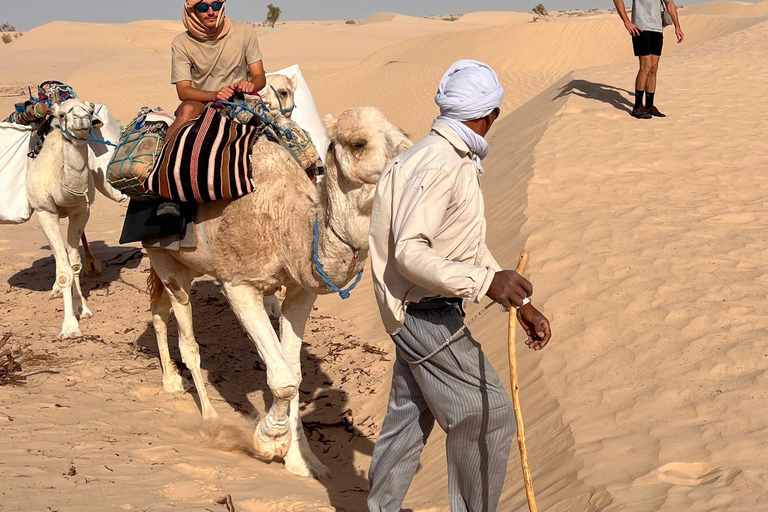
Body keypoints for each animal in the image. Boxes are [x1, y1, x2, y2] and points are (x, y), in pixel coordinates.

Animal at [26, 100, 102, 340]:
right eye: (61, 114)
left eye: (90, 110)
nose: (81, 118)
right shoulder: (45, 211)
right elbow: (64, 272)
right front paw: (69, 327)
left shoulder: (80, 211)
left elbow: (75, 264)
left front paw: (82, 308)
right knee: (57, 256)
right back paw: (55, 290)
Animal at [147, 106, 412, 478]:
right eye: (359, 143)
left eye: (403, 133)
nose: (413, 158)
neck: (285, 223)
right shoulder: (238, 285)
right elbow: (283, 379)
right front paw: (268, 441)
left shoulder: (301, 291)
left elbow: (295, 373)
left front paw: (304, 460)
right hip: (165, 257)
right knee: (186, 337)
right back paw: (208, 418)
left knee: (158, 310)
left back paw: (171, 380)